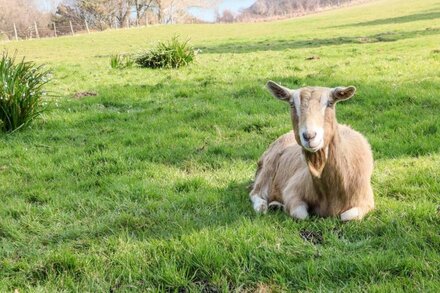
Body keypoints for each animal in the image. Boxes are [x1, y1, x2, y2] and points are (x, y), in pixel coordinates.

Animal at [251, 81, 374, 220]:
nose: (309, 136)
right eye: (292, 104)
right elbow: (302, 214)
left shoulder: (366, 201)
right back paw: (265, 206)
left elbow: (347, 216)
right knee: (256, 193)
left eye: (330, 103)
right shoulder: (292, 190)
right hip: (267, 168)